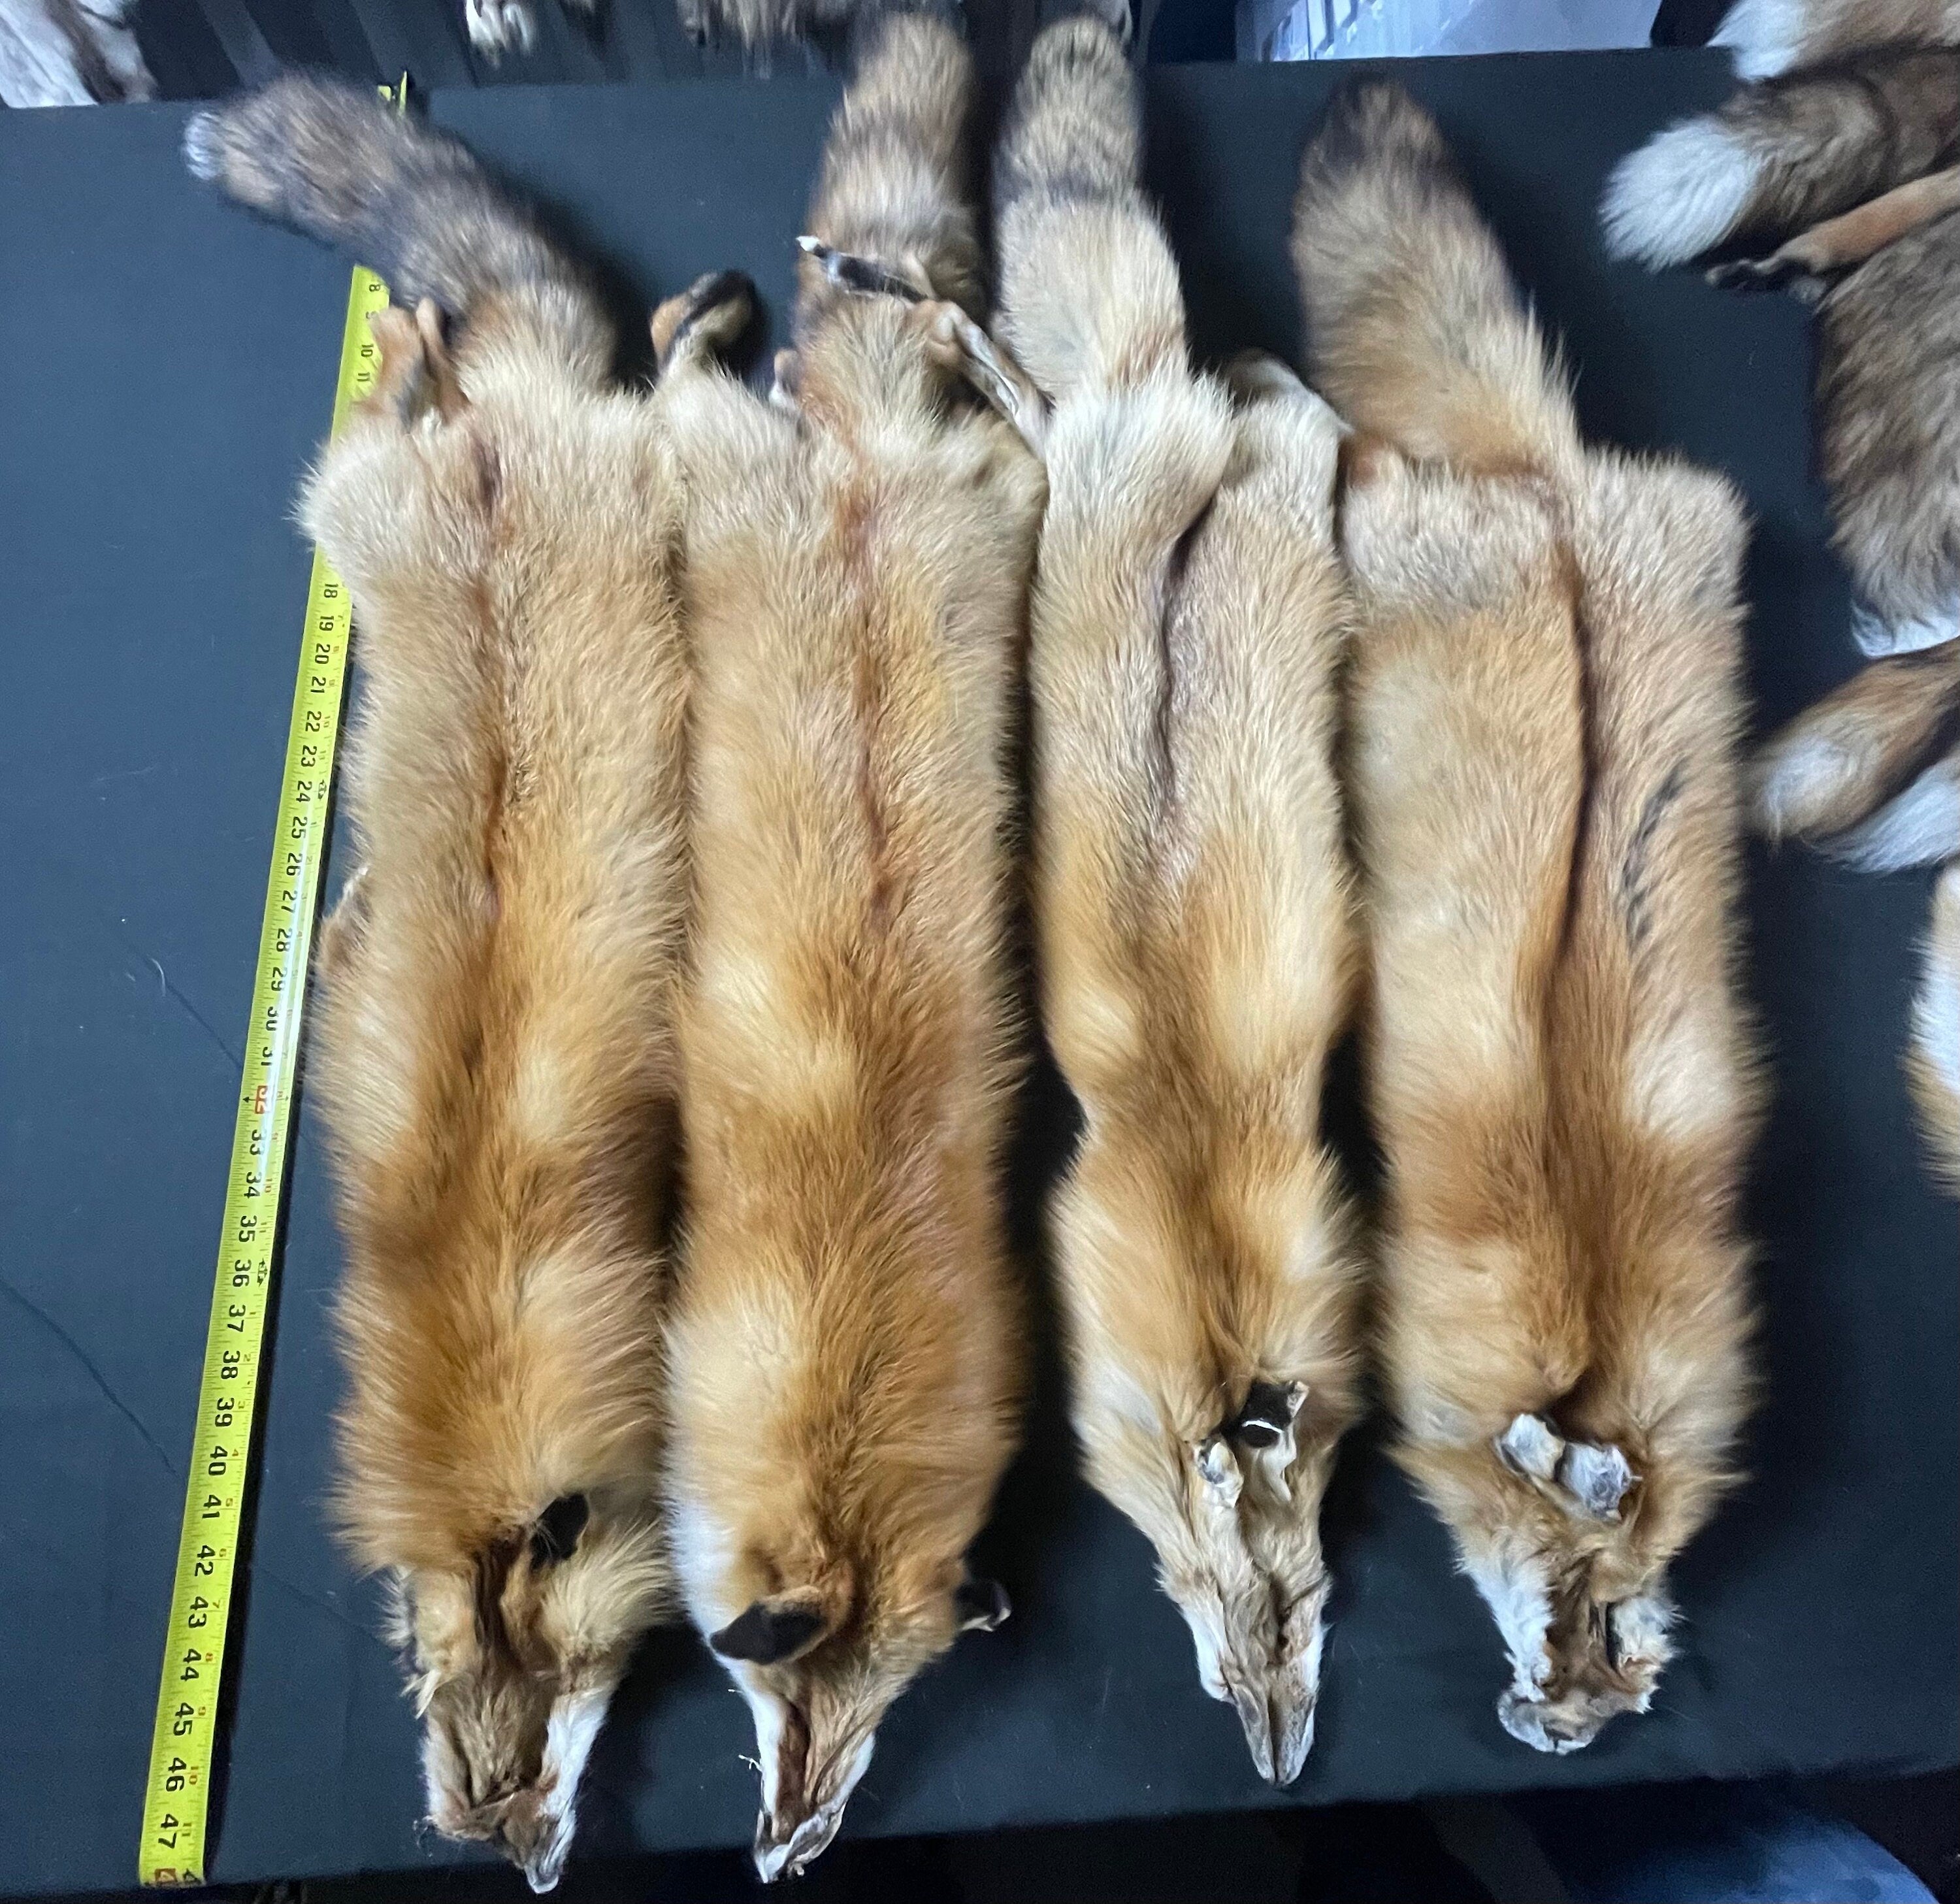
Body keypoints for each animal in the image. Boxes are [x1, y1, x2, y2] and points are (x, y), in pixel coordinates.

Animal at [183, 78, 743, 1890]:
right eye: (459, 1743)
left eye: (558, 1717)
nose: (525, 1856)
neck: (482, 1301)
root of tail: (505, 442)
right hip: (371, 499)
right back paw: (422, 336)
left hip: (484, 482)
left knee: (602, 358)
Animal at [1296, 84, 1765, 1753]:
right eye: (1582, 1606)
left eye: (1628, 1639)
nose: (1558, 1724)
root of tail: (1540, 488)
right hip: (1404, 545)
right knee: (1362, 456)